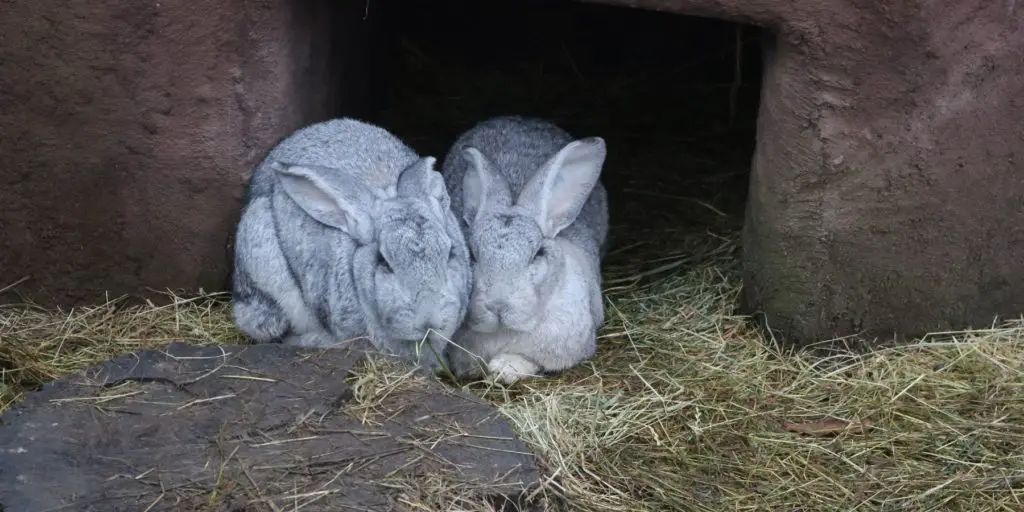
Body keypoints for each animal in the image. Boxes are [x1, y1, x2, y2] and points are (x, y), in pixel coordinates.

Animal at [440, 116, 606, 385]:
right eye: (472, 254)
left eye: (537, 253)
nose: (498, 305)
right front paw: (473, 368)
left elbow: (529, 361)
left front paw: (503, 368)